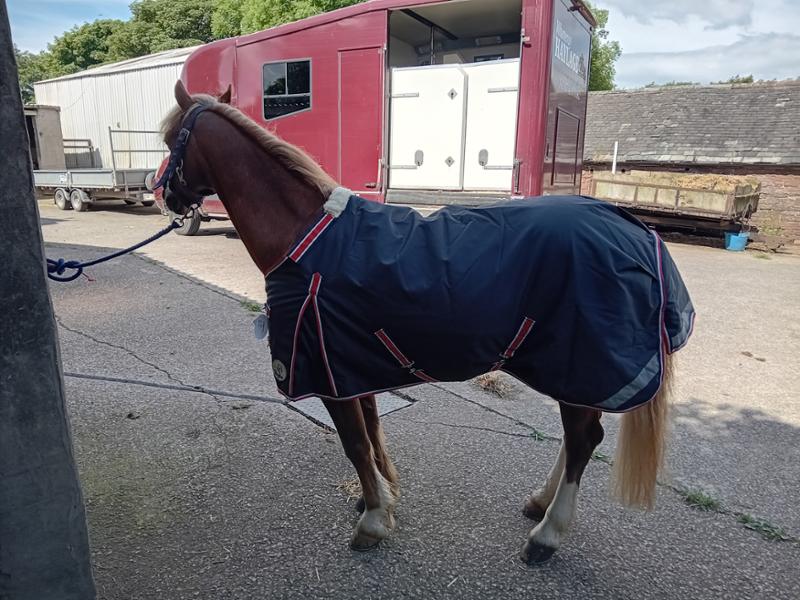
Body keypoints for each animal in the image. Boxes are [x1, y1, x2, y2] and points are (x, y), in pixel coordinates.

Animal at [158, 82, 692, 564]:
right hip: (577, 371)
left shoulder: (326, 372)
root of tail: (635, 231)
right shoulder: (351, 365)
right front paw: (378, 497)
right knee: (581, 435)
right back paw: (540, 503)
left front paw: (373, 521)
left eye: (168, 140)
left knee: (583, 440)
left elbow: (354, 443)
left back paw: (546, 535)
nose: (160, 192)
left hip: (581, 361)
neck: (303, 237)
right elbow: (372, 434)